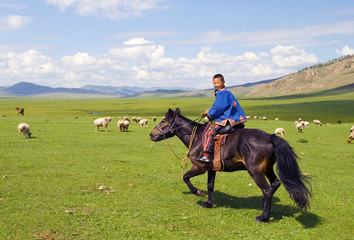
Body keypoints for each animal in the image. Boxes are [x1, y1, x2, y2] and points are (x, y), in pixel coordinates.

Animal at [151, 108, 312, 222]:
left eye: (163, 121)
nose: (151, 134)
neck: (196, 137)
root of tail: (270, 137)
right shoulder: (211, 169)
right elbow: (210, 186)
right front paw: (208, 203)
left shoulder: (199, 167)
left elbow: (185, 177)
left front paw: (198, 192)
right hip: (267, 169)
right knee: (275, 183)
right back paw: (263, 207)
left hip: (255, 171)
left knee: (267, 190)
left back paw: (263, 217)